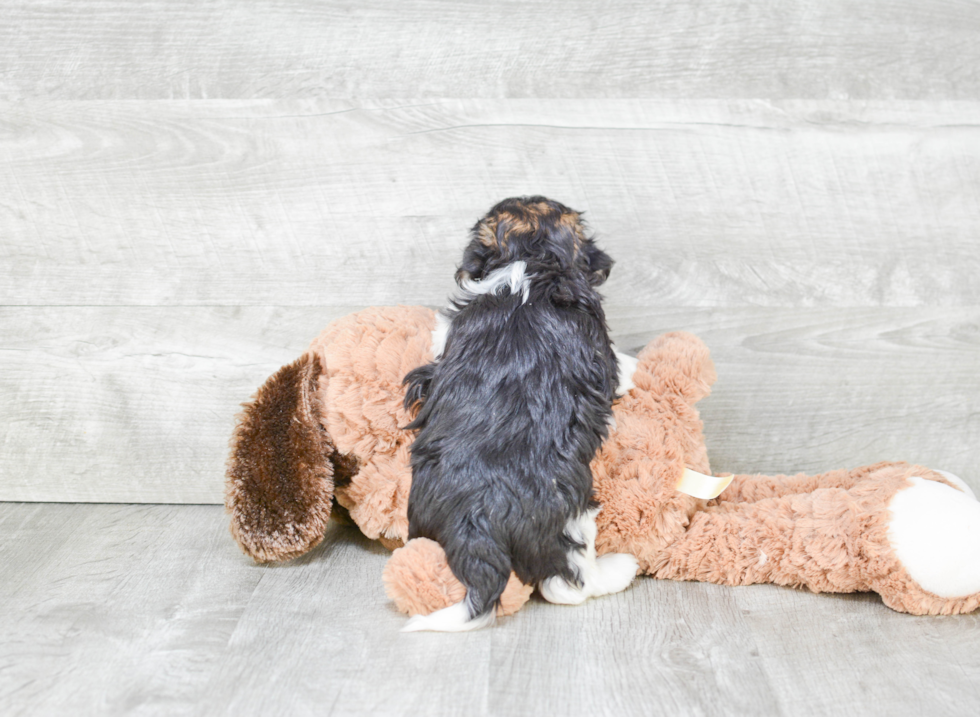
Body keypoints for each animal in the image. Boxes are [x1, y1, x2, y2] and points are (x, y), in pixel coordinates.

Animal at [400, 196, 640, 632]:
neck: (530, 260)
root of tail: (478, 517)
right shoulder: (603, 350)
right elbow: (624, 368)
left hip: (424, 524)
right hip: (572, 515)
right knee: (568, 583)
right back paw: (621, 568)